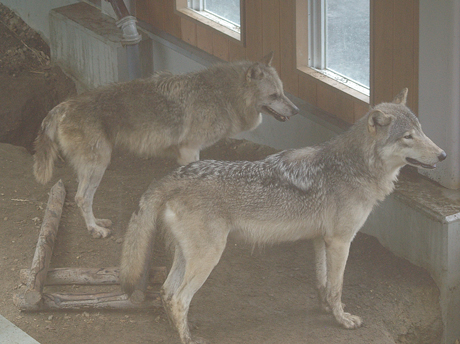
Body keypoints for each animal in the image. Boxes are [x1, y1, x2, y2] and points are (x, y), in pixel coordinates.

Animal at [32, 52, 298, 238]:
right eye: (274, 95)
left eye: (284, 92)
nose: (296, 110)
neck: (222, 96)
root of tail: (61, 107)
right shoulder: (190, 151)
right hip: (99, 165)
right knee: (81, 198)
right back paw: (94, 230)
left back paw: (98, 223)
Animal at [119, 88, 446, 344]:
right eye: (408, 137)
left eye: (422, 131)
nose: (443, 155)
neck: (354, 168)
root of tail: (170, 177)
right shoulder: (341, 242)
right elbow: (337, 287)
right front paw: (342, 320)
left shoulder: (321, 240)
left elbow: (323, 284)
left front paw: (325, 310)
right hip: (208, 258)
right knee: (179, 298)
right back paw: (188, 338)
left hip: (187, 257)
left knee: (166, 292)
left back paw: (183, 328)